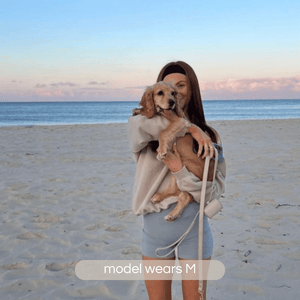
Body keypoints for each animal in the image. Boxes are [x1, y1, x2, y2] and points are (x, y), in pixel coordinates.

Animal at [132, 81, 214, 221]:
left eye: (172, 93)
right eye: (160, 93)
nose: (172, 102)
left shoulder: (178, 120)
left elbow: (163, 132)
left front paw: (161, 150)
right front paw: (139, 110)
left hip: (186, 166)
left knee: (184, 195)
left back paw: (171, 213)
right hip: (176, 173)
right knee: (177, 191)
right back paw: (159, 199)